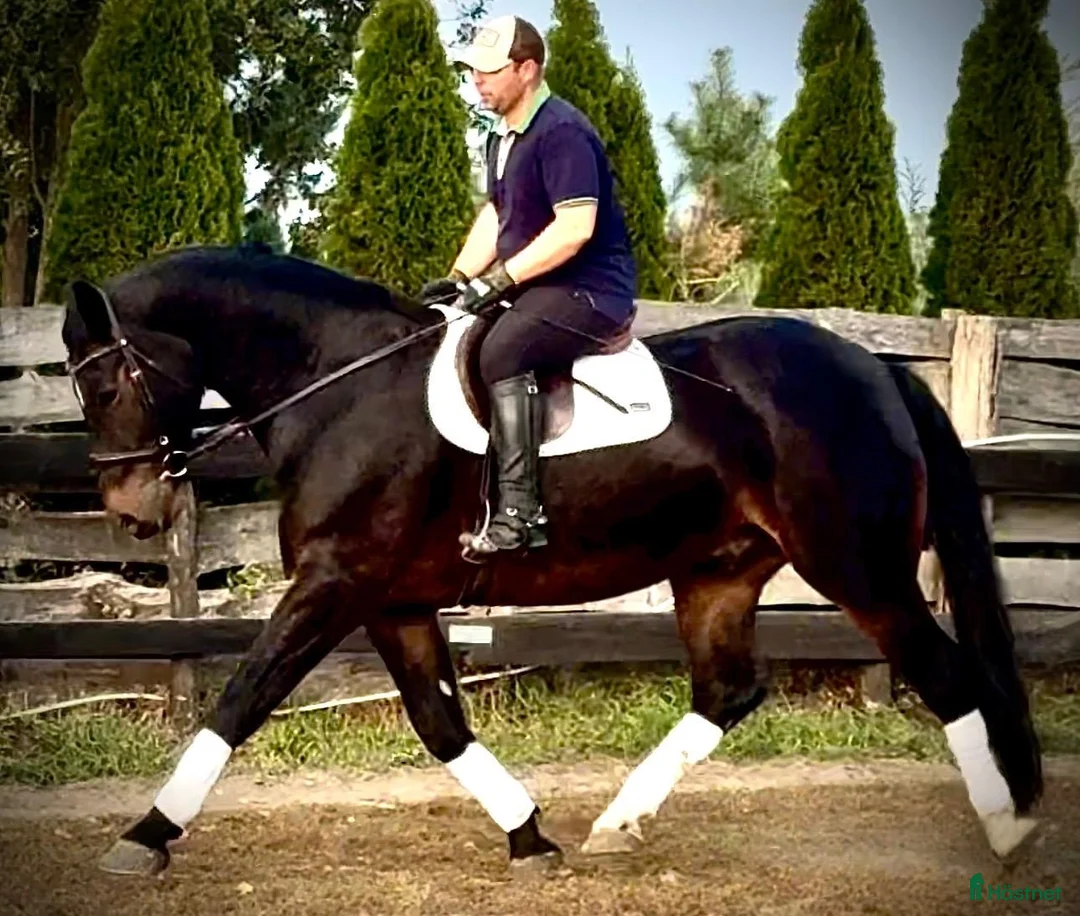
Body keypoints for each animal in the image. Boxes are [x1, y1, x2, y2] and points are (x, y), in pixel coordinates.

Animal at [60, 243, 1043, 879]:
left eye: (105, 383)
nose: (132, 512)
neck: (341, 385)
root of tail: (877, 368)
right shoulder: (391, 603)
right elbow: (440, 725)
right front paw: (531, 836)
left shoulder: (334, 583)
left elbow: (241, 697)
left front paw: (145, 835)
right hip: (719, 572)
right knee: (727, 691)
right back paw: (618, 821)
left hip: (857, 566)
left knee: (946, 677)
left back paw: (1006, 832)